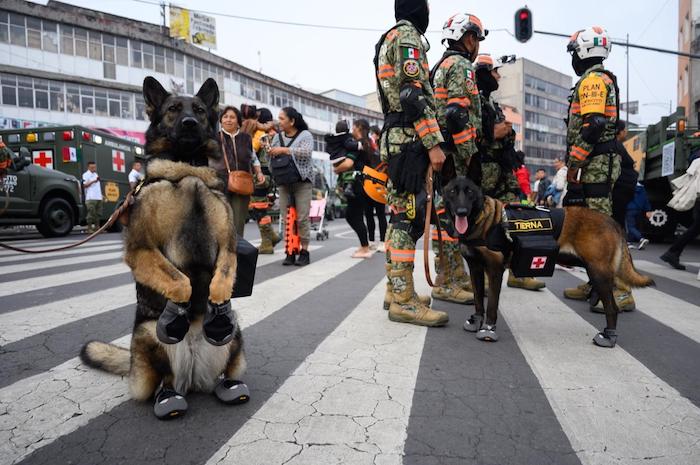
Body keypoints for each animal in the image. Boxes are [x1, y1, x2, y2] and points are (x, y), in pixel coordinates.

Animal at [80, 77, 249, 420]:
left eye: (199, 110)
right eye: (173, 109)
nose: (189, 123)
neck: (188, 167)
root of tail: (193, 377)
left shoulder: (228, 246)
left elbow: (223, 277)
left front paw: (217, 306)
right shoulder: (140, 249)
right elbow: (179, 280)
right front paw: (177, 310)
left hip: (236, 335)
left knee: (226, 367)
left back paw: (229, 383)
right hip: (146, 336)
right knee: (165, 380)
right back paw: (169, 396)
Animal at [440, 175, 652, 348]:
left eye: (470, 192)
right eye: (452, 192)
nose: (461, 211)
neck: (484, 219)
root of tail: (613, 222)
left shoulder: (494, 271)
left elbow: (491, 303)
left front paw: (488, 329)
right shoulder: (475, 268)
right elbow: (478, 299)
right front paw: (476, 321)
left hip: (599, 273)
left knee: (612, 308)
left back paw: (608, 336)